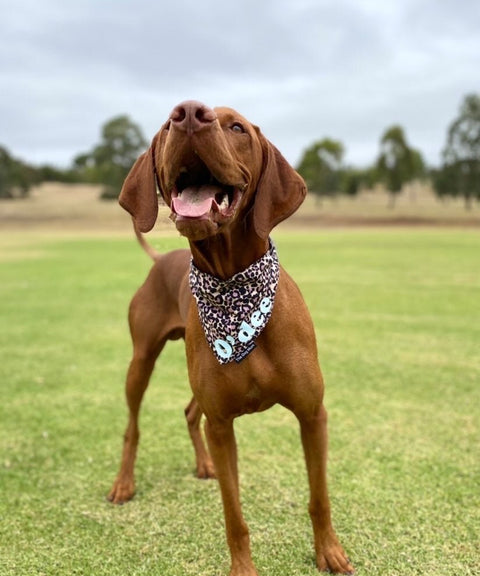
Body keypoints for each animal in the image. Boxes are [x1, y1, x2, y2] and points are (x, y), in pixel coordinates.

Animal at [109, 101, 356, 572]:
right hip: (140, 361)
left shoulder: (312, 414)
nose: (188, 113)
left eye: (237, 127)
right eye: (167, 127)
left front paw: (330, 552)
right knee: (133, 426)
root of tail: (160, 259)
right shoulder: (223, 426)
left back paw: (202, 465)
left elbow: (319, 497)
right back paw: (124, 484)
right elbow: (233, 513)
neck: (234, 289)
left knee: (191, 412)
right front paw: (243, 568)